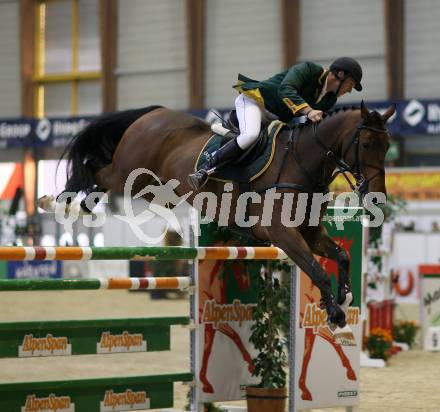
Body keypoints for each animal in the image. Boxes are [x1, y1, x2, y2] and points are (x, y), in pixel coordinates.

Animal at [39, 100, 394, 334]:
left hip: (153, 186)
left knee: (101, 181)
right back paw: (56, 204)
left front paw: (345, 298)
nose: (377, 196)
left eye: (387, 145)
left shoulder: (310, 232)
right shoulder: (283, 233)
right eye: (366, 143)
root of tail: (153, 112)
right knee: (94, 168)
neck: (302, 162)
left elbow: (341, 255)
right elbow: (316, 270)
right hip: (129, 172)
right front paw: (334, 312)